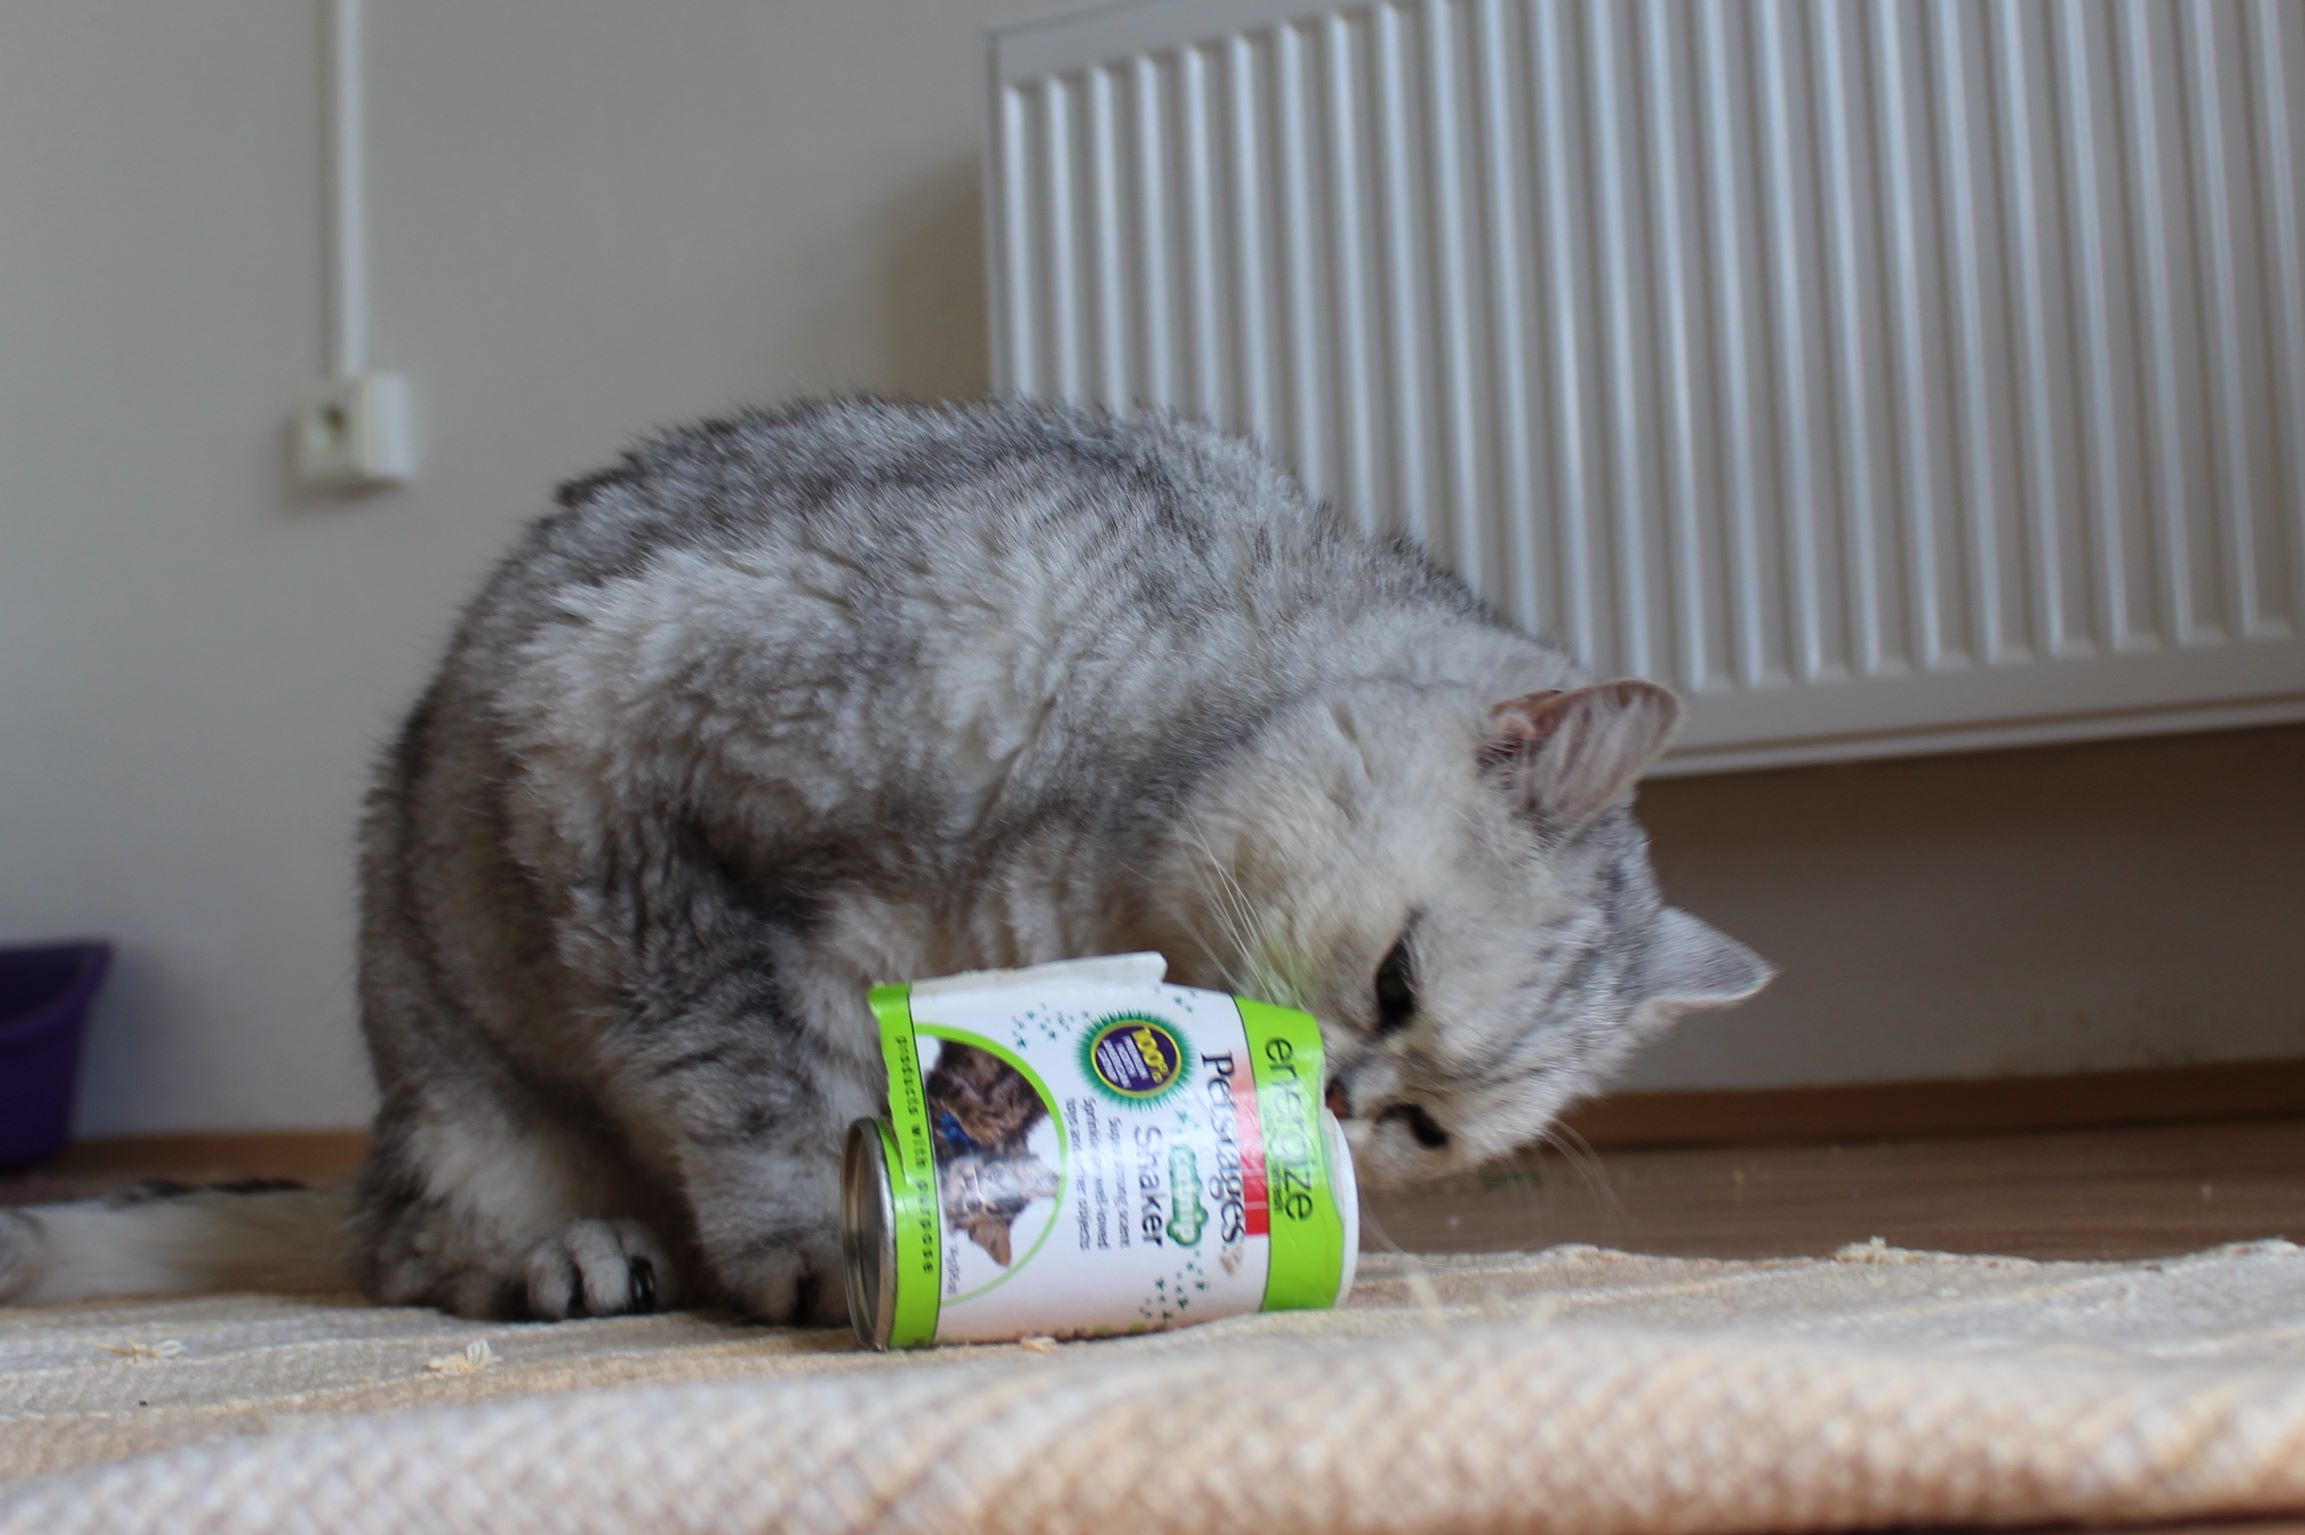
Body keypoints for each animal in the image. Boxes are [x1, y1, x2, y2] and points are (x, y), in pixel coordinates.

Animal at [0, 398, 1769, 1322]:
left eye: (1424, 1128)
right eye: (1392, 980)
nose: (1327, 1099)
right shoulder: (617, 756)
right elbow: (747, 1075)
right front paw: (814, 1236)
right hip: (462, 1069)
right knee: (406, 1249)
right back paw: (571, 1254)